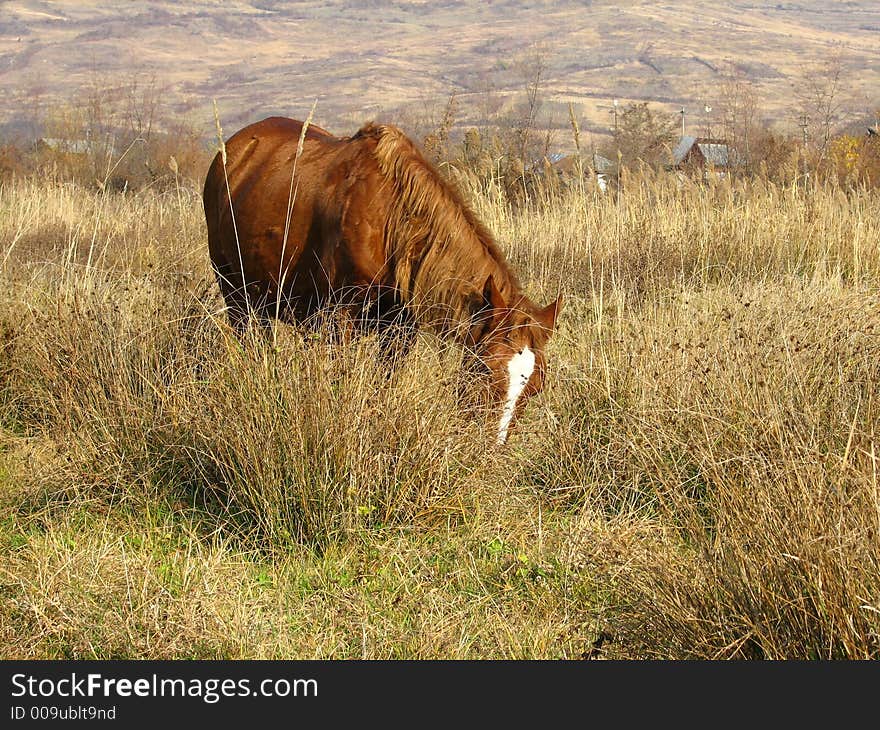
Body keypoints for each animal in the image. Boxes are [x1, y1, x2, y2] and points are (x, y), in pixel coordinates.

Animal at [202, 116, 560, 440]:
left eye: (536, 388)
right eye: (485, 368)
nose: (488, 447)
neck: (391, 223)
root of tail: (233, 150)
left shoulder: (399, 333)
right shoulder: (338, 322)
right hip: (234, 292)